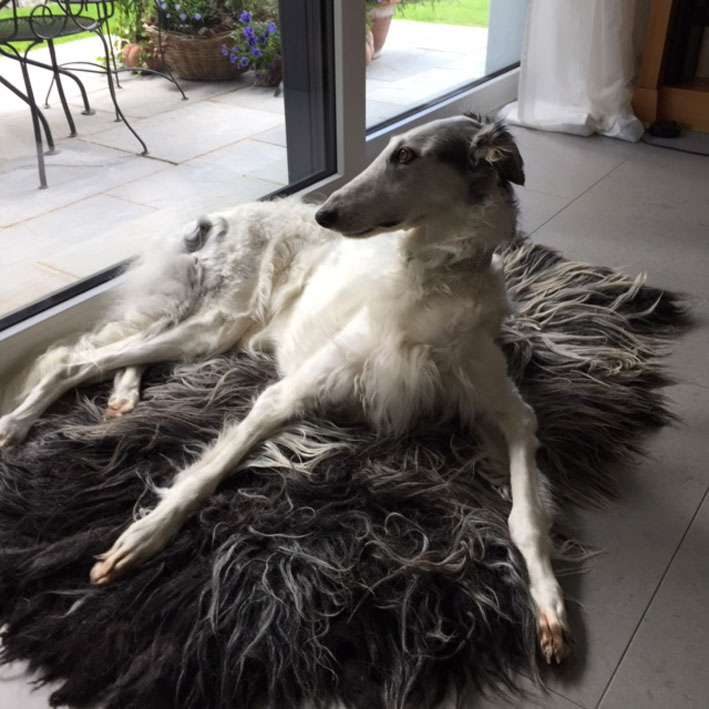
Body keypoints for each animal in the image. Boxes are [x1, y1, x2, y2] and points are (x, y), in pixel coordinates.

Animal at [0, 115, 571, 663]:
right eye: (391, 150)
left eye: (407, 155)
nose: (326, 215)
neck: (437, 280)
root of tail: (221, 215)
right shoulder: (288, 393)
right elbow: (201, 476)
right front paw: (142, 536)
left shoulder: (505, 408)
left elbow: (526, 512)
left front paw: (547, 601)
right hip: (217, 324)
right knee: (74, 361)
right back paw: (16, 423)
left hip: (206, 333)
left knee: (120, 352)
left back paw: (122, 397)